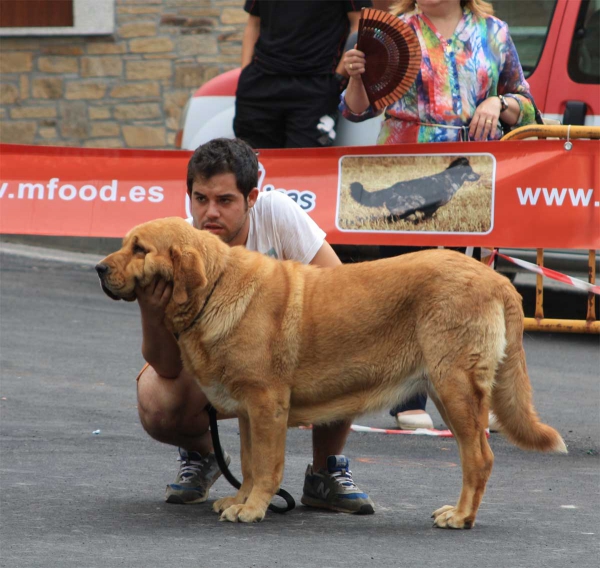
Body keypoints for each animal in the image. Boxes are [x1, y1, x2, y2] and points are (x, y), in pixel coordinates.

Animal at [97, 219, 568, 528]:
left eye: (140, 249)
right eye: (124, 245)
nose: (100, 268)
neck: (214, 287)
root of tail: (497, 280)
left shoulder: (267, 405)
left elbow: (266, 465)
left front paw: (253, 508)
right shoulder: (249, 412)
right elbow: (248, 463)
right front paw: (240, 498)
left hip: (454, 388)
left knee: (479, 458)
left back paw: (461, 516)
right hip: (444, 389)